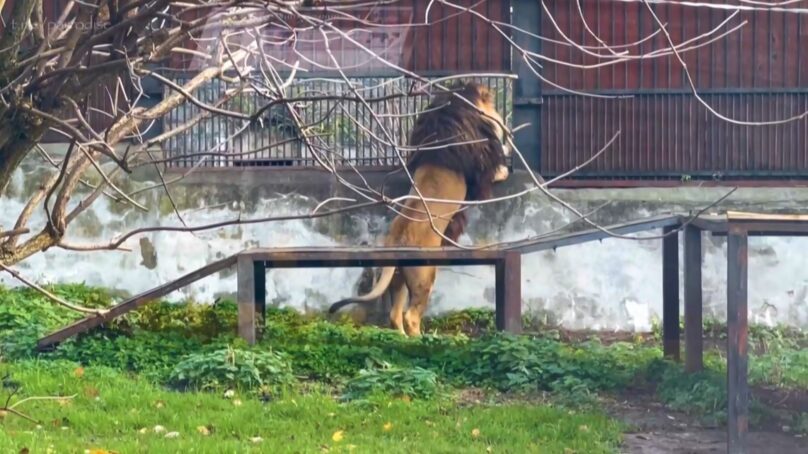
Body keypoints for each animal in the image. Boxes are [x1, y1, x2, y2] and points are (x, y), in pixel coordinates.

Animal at [326, 80, 512, 336]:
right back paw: (422, 338)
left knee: (394, 315)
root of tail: (395, 241)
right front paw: (506, 160)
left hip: (398, 279)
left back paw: (404, 339)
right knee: (410, 315)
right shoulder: (481, 171)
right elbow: (496, 170)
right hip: (424, 275)